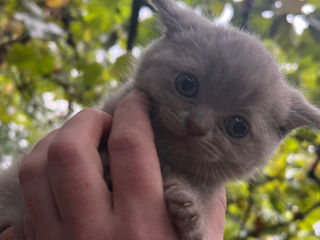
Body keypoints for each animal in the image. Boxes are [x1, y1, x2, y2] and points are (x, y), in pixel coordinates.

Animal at [0, 0, 320, 239]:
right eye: (187, 84)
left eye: (238, 127)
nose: (197, 126)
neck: (165, 161)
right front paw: (105, 163)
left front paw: (190, 214)